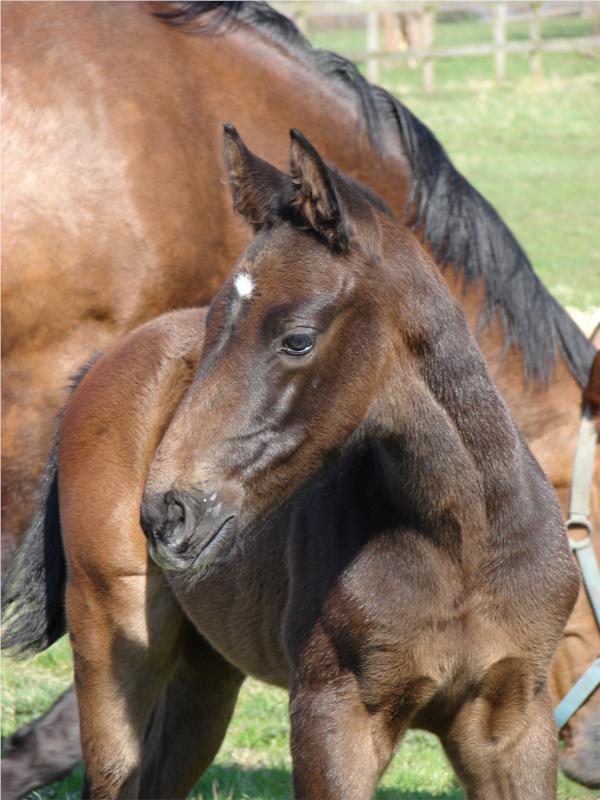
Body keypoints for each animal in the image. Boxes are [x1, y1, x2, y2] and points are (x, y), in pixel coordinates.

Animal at [2, 0, 596, 788]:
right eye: (215, 323)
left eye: (298, 339)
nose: (166, 515)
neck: (462, 545)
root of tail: (110, 359)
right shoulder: (333, 714)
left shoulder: (511, 723)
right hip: (112, 636)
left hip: (207, 670)